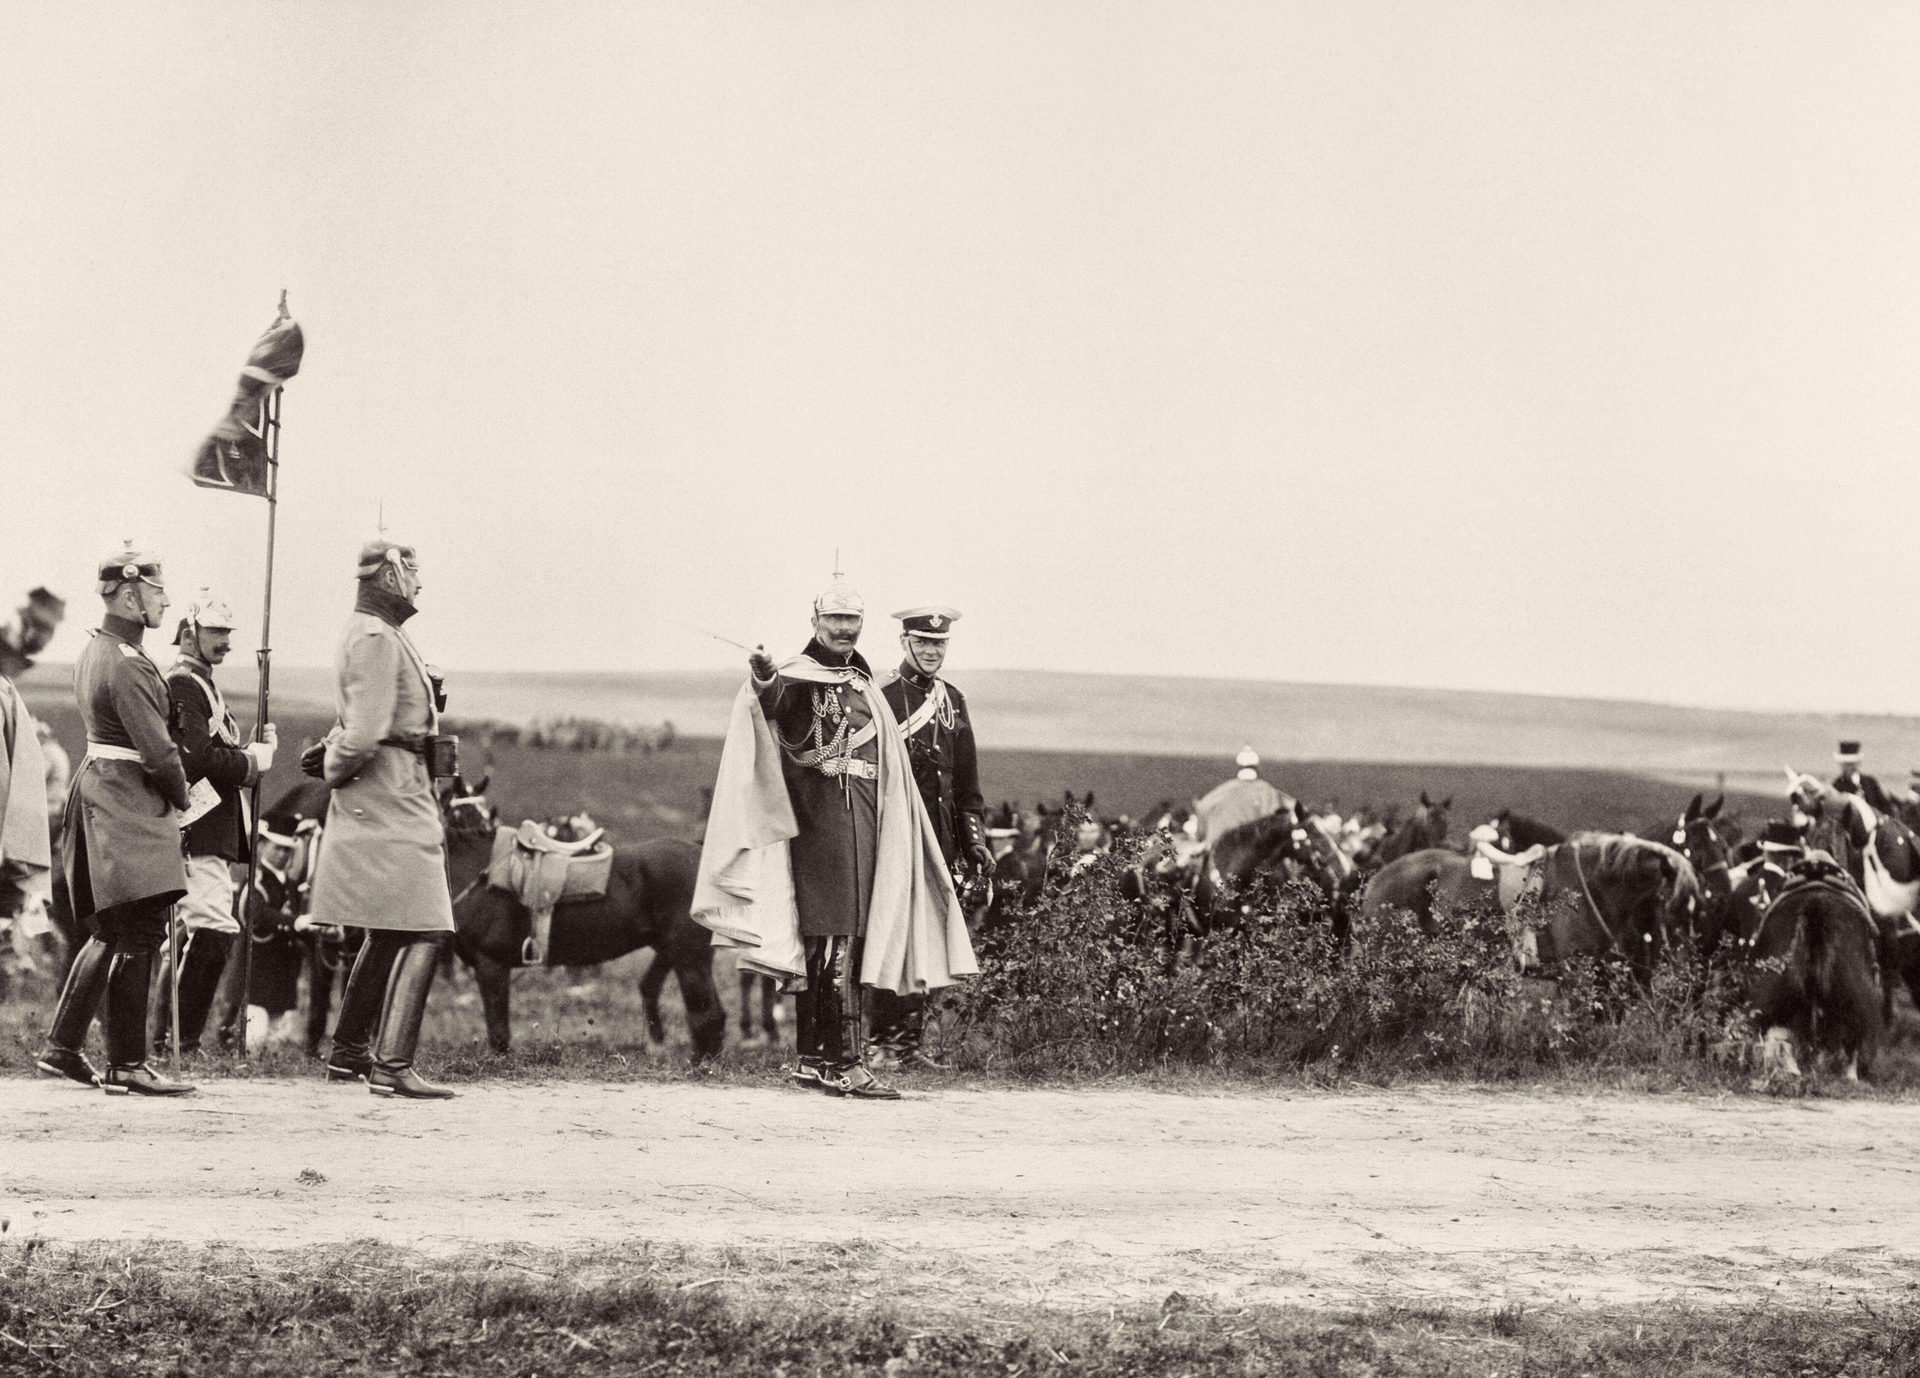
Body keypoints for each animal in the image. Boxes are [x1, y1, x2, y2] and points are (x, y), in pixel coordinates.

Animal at [445, 783, 721, 1067]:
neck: (477, 870)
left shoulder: (491, 965)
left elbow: (499, 1032)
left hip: (690, 958)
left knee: (706, 1014)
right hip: (673, 953)